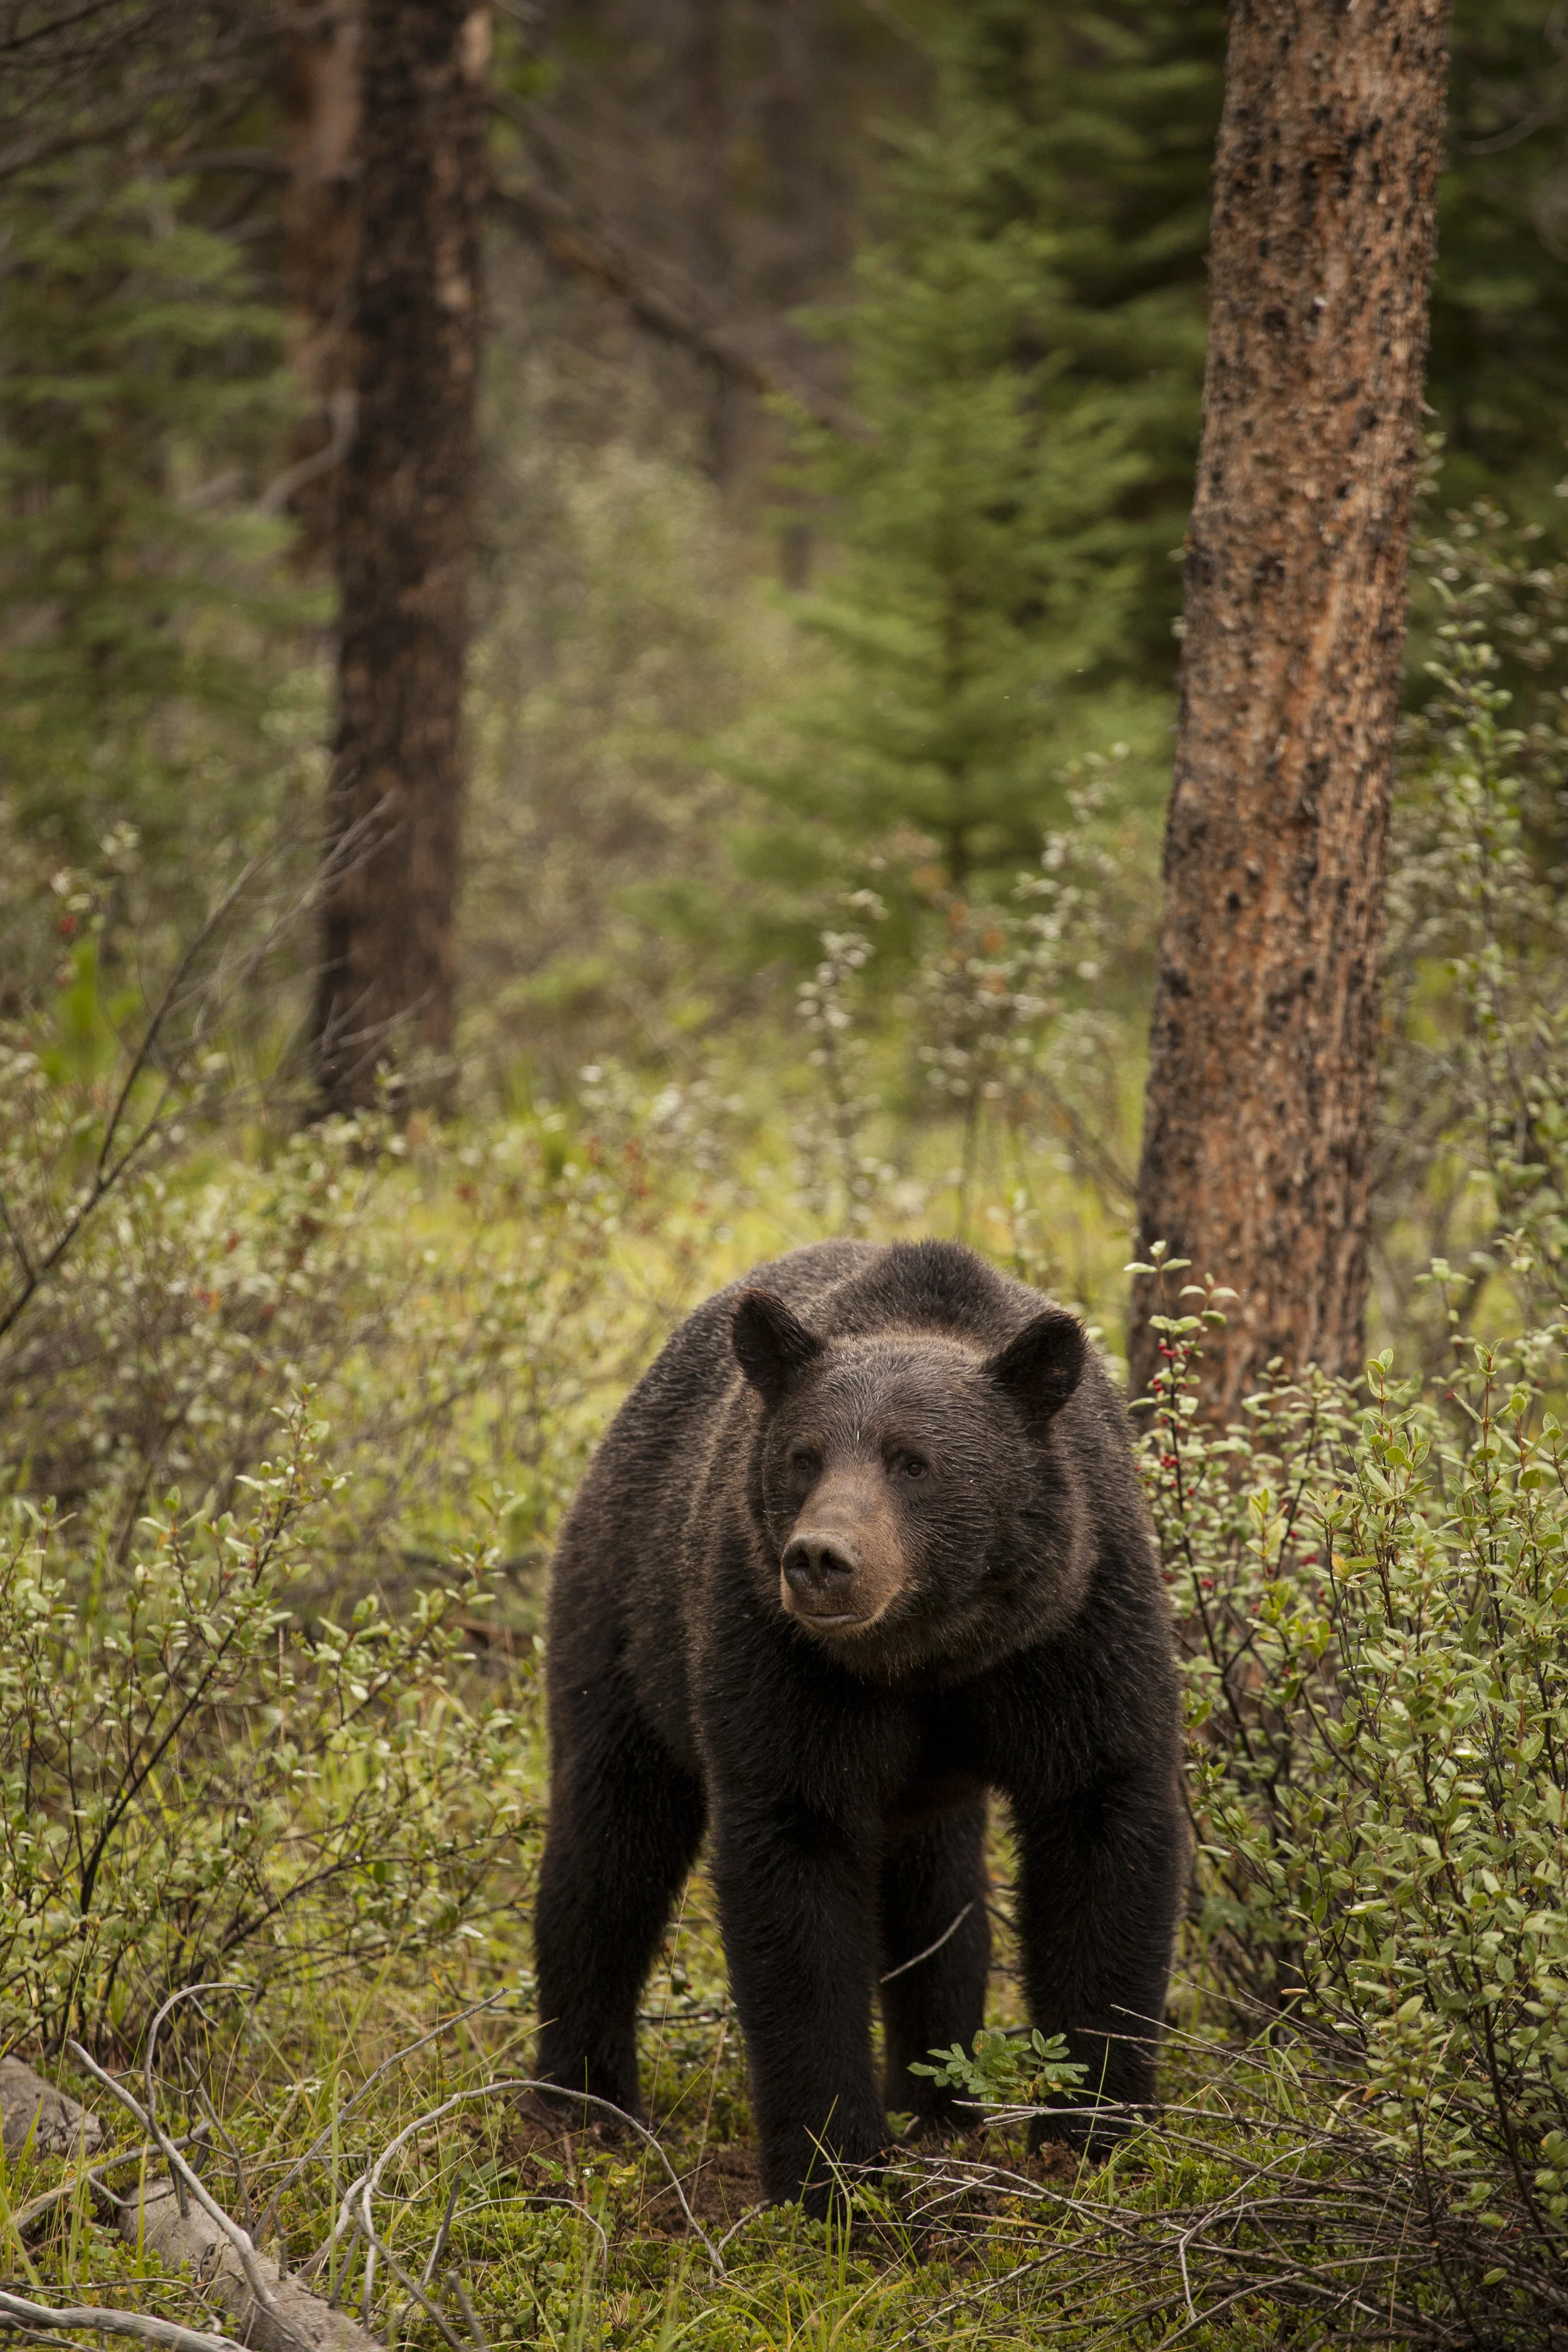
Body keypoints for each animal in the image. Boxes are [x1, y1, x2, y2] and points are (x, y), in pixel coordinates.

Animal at [533, 1238, 1185, 2212]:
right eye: (804, 1456)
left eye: (913, 1461)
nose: (821, 1559)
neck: (929, 1651)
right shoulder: (781, 1662)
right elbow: (796, 1879)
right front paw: (832, 2169)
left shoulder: (1076, 1633)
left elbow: (1102, 1826)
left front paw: (1094, 2131)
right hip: (624, 1616)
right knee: (608, 1848)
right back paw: (579, 2100)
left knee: (938, 1897)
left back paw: (939, 2102)